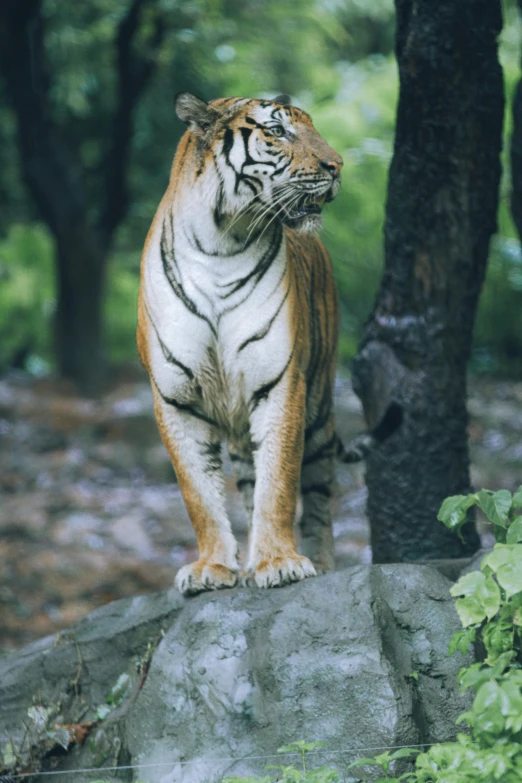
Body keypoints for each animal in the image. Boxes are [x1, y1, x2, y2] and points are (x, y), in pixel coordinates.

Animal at [137, 92, 398, 596]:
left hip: (319, 408)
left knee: (317, 498)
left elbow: (278, 481)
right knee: (247, 484)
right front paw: (212, 567)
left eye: (313, 128)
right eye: (277, 132)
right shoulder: (175, 399)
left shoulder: (280, 384)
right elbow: (198, 493)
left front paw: (279, 562)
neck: (220, 243)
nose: (337, 165)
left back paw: (320, 562)